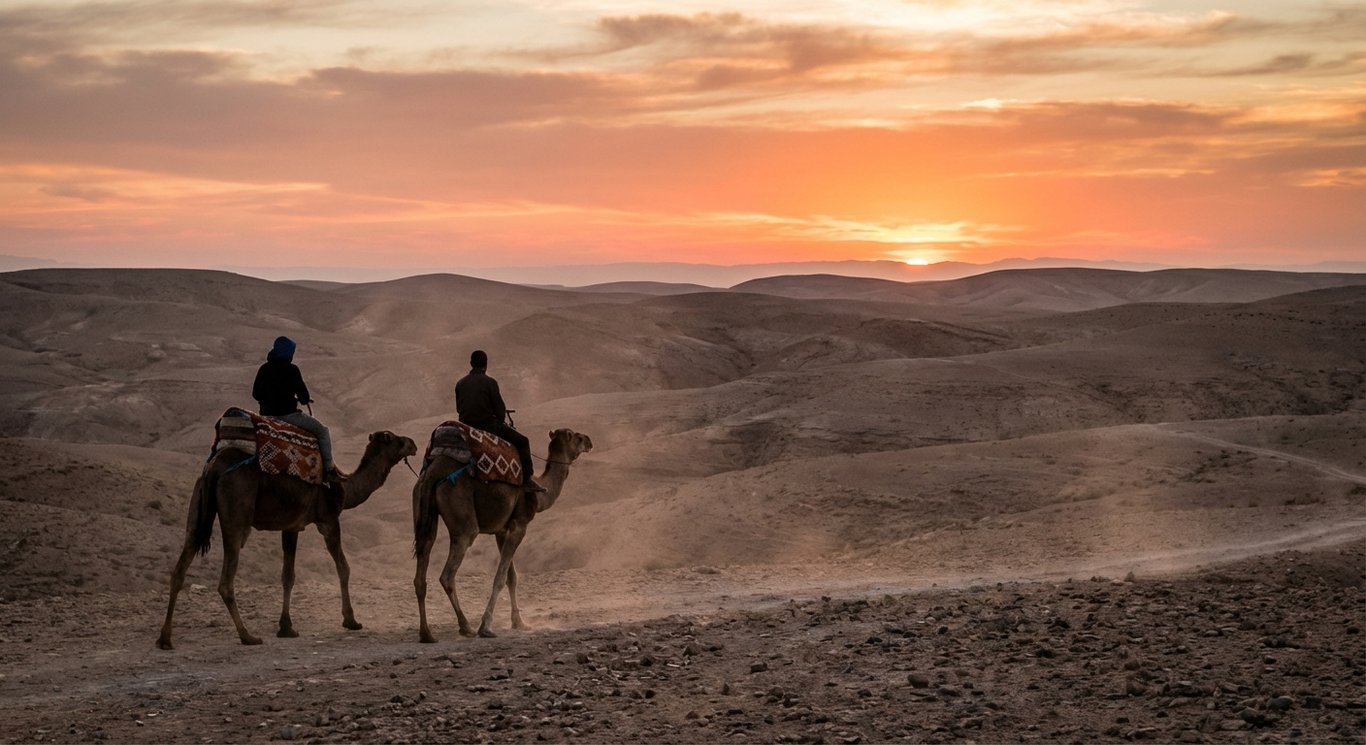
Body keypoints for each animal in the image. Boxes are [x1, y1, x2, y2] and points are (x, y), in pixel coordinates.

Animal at [157, 430, 418, 649]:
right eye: (395, 439)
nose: (414, 444)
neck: (346, 487)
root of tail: (214, 468)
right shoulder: (328, 520)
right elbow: (343, 568)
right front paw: (351, 620)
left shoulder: (291, 526)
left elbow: (287, 576)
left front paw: (286, 627)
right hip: (236, 511)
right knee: (225, 581)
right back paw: (248, 636)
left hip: (198, 505)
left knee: (179, 569)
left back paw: (165, 639)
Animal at [412, 428, 593, 641]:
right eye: (577, 437)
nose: (589, 441)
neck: (540, 495)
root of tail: (434, 471)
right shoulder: (519, 525)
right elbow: (500, 577)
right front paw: (486, 626)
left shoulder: (502, 530)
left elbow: (511, 577)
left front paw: (519, 623)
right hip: (463, 521)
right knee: (448, 574)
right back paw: (466, 626)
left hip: (424, 512)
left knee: (421, 569)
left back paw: (426, 634)